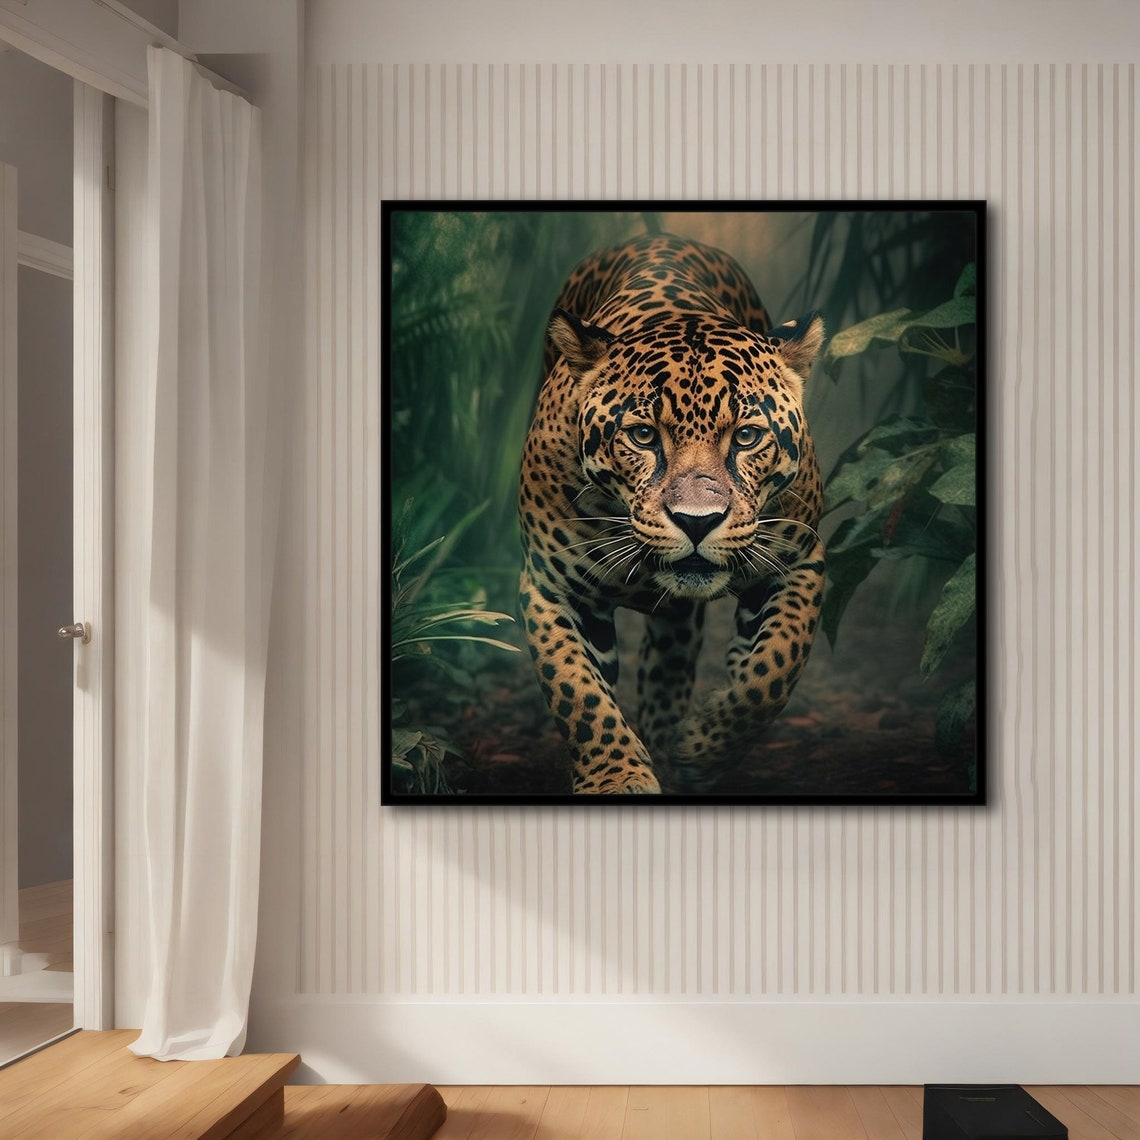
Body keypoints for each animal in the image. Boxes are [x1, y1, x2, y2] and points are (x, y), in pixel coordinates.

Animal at [518, 232, 825, 794]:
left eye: (746, 437)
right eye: (643, 436)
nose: (697, 521)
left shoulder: (800, 560)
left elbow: (773, 669)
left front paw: (701, 748)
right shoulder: (552, 586)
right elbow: (578, 693)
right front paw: (616, 777)